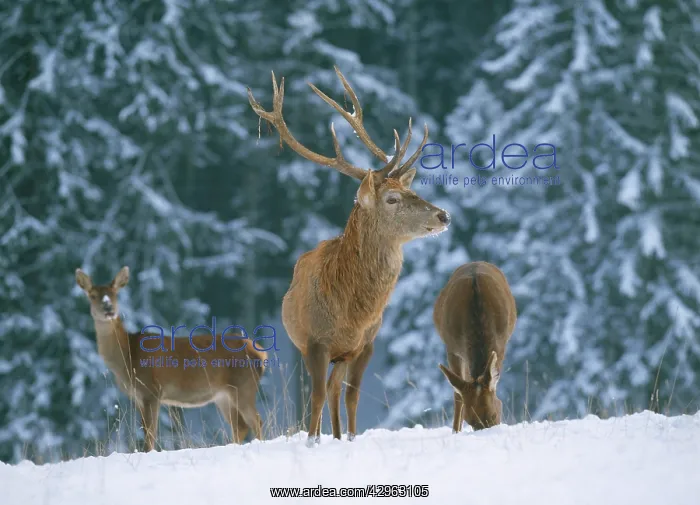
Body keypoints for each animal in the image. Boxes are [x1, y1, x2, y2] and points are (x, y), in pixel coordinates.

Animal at [75, 266, 267, 451]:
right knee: (240, 426)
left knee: (256, 420)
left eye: (115, 293)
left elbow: (150, 435)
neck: (128, 356)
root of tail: (260, 353)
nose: (108, 308)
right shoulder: (138, 396)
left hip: (244, 385)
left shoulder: (152, 390)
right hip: (223, 395)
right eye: (92, 295)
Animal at [247, 66, 451, 447]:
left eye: (410, 190)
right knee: (323, 391)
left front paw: (352, 438)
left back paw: (340, 435)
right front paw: (312, 441)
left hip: (342, 355)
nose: (443, 215)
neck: (350, 311)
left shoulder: (365, 344)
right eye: (392, 199)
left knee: (334, 390)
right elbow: (313, 396)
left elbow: (352, 394)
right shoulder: (314, 342)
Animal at [434, 261, 517, 432]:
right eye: (469, 420)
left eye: (494, 414)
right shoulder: (451, 349)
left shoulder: (501, 344)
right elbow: (458, 394)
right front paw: (455, 431)